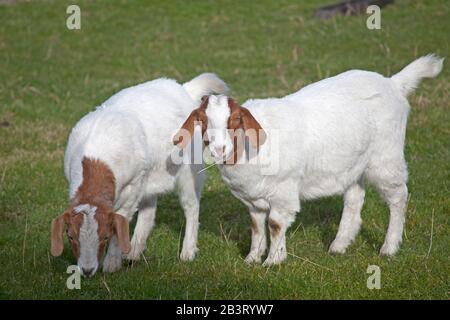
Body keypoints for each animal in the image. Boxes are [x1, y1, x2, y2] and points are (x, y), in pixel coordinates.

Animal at [50, 72, 229, 276]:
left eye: (104, 237)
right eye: (70, 236)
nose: (87, 271)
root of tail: (184, 89)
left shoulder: (133, 186)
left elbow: (121, 220)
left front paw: (111, 264)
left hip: (189, 172)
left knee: (191, 207)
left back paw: (187, 252)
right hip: (150, 177)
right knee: (149, 211)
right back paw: (134, 251)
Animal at [175, 54, 442, 264]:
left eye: (236, 120)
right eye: (201, 120)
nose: (219, 149)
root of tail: (393, 83)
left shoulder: (283, 192)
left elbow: (275, 224)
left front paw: (273, 261)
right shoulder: (253, 198)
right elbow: (256, 226)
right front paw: (252, 258)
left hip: (386, 156)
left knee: (398, 197)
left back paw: (389, 247)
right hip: (354, 163)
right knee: (354, 199)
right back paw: (339, 245)